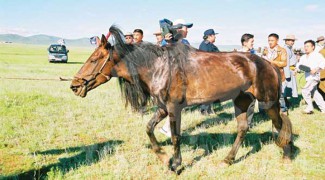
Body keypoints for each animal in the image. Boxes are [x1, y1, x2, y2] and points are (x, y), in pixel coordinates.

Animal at [71, 26, 294, 171]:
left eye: (94, 59)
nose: (74, 85)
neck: (159, 66)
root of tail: (269, 64)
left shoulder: (173, 107)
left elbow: (175, 136)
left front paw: (176, 164)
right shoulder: (162, 108)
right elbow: (149, 128)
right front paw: (163, 157)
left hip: (268, 102)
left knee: (281, 123)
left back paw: (287, 155)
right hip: (241, 101)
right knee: (243, 129)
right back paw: (228, 160)